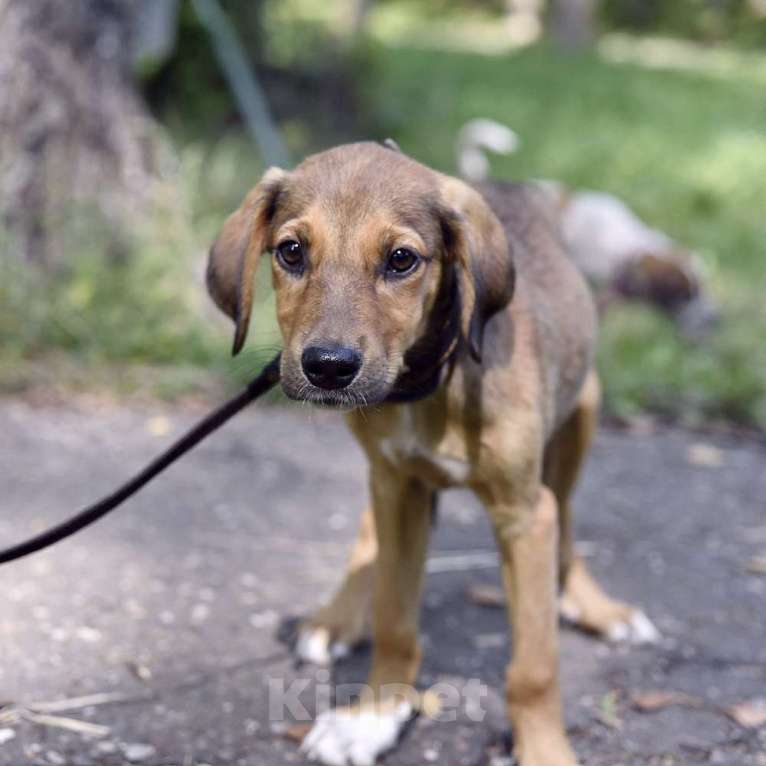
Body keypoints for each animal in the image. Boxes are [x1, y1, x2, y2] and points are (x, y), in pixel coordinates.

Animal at [208, 142, 660, 766]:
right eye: (291, 251)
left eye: (401, 260)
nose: (328, 367)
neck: (430, 381)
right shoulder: (399, 488)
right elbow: (396, 621)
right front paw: (374, 716)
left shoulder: (525, 515)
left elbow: (534, 668)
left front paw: (543, 749)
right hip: (389, 471)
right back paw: (338, 617)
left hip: (580, 418)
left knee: (567, 522)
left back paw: (598, 608)